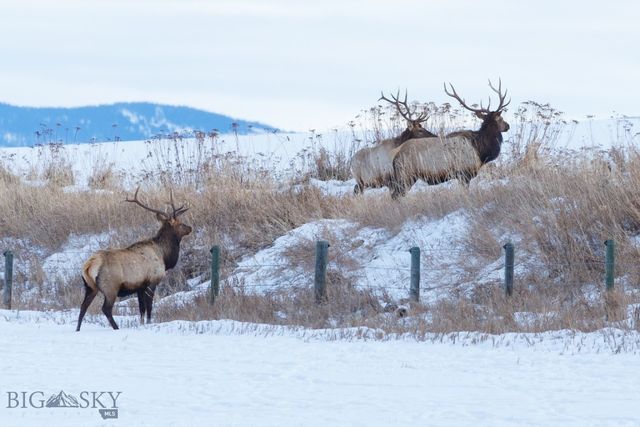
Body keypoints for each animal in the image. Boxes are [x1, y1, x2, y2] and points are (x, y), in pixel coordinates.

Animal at [76, 188, 192, 331]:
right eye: (180, 224)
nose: (190, 228)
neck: (164, 256)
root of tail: (89, 265)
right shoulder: (152, 281)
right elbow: (149, 307)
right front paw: (149, 323)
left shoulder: (140, 286)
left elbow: (141, 309)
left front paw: (141, 324)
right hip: (110, 287)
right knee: (106, 309)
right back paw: (116, 327)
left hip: (90, 287)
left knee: (83, 307)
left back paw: (77, 329)